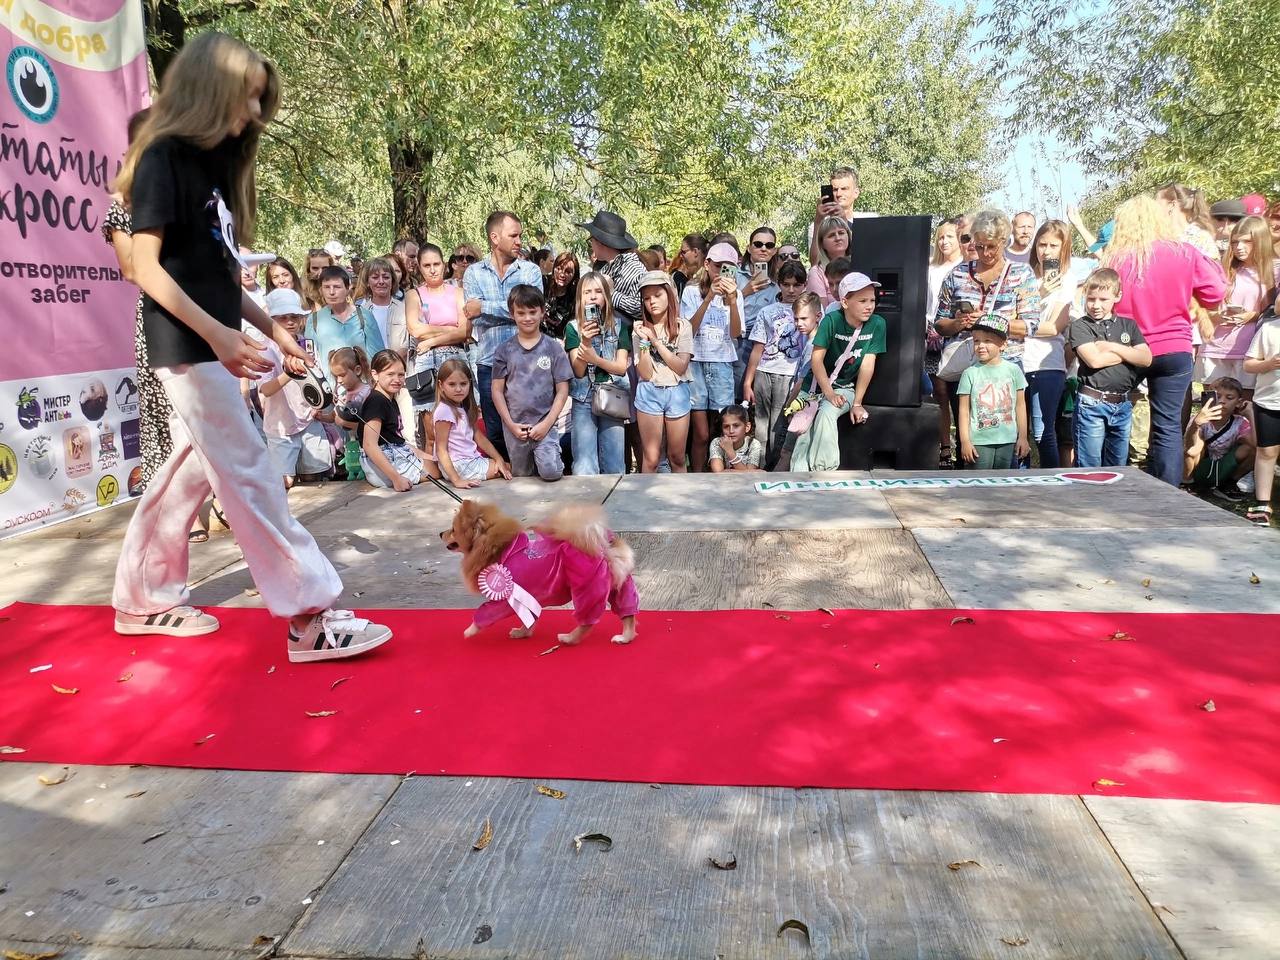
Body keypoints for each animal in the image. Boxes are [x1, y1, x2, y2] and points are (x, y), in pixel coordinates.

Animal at [440, 499, 639, 646]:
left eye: (453, 530)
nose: (441, 533)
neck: (497, 548)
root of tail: (603, 547)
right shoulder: (526, 597)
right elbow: (529, 618)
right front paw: (523, 633)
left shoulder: (505, 599)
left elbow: (484, 612)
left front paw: (469, 631)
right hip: (618, 587)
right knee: (628, 614)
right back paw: (625, 638)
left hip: (587, 589)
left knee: (587, 622)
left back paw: (569, 638)